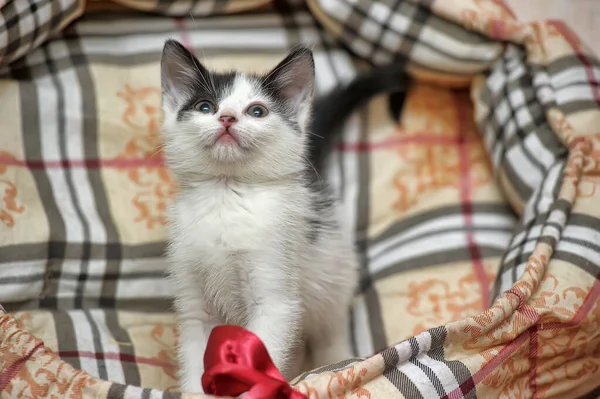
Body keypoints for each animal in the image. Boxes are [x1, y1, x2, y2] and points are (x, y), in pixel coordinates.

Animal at [161, 39, 408, 396]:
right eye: (205, 107)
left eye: (257, 111)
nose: (227, 118)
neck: (226, 198)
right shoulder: (195, 300)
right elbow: (197, 356)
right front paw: (196, 391)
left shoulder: (275, 293)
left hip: (334, 279)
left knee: (329, 331)